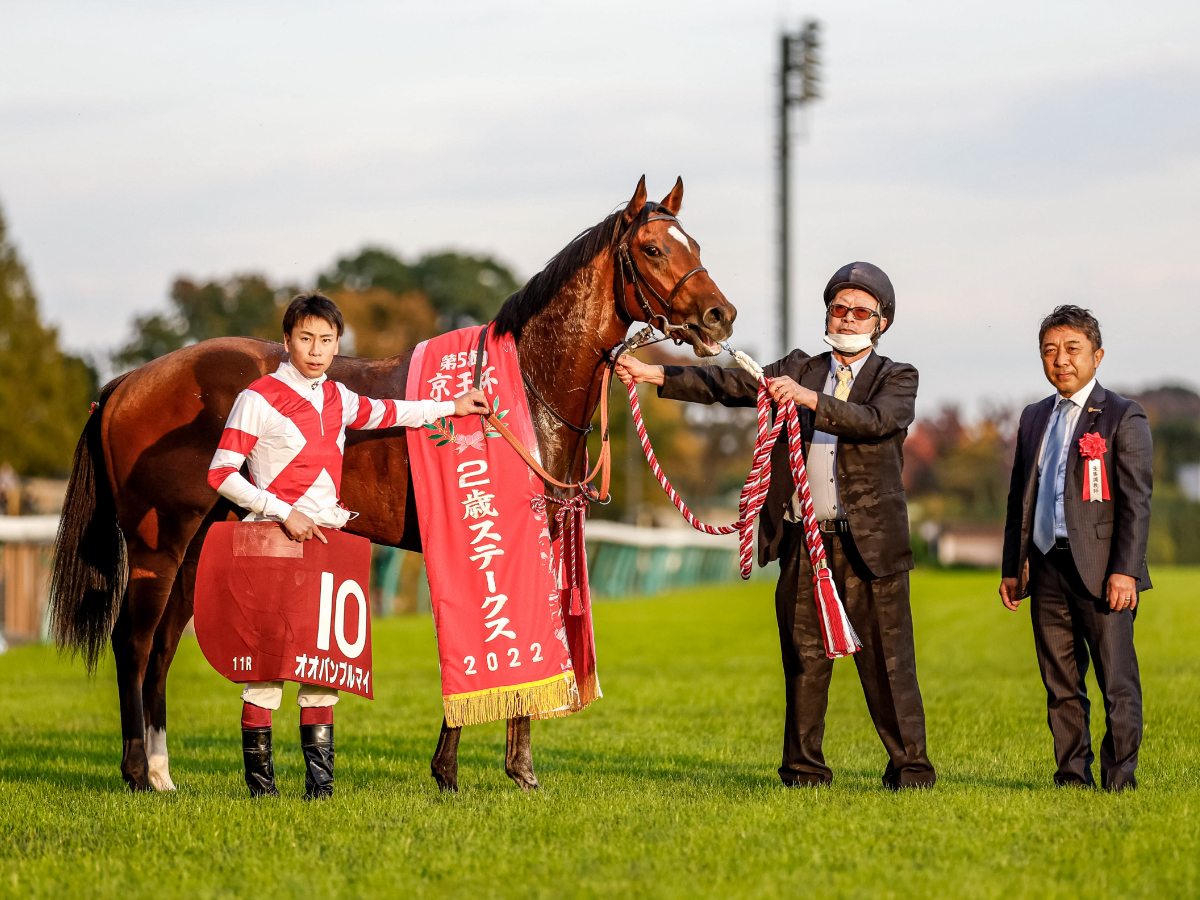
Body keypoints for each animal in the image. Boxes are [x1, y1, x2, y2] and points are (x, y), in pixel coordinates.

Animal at [51, 174, 734, 787]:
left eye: (695, 244)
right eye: (653, 249)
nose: (719, 316)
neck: (520, 389)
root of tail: (127, 382)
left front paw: (497, 770)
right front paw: (478, 771)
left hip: (201, 542)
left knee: (163, 647)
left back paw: (162, 772)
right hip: (158, 543)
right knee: (133, 641)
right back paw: (137, 774)